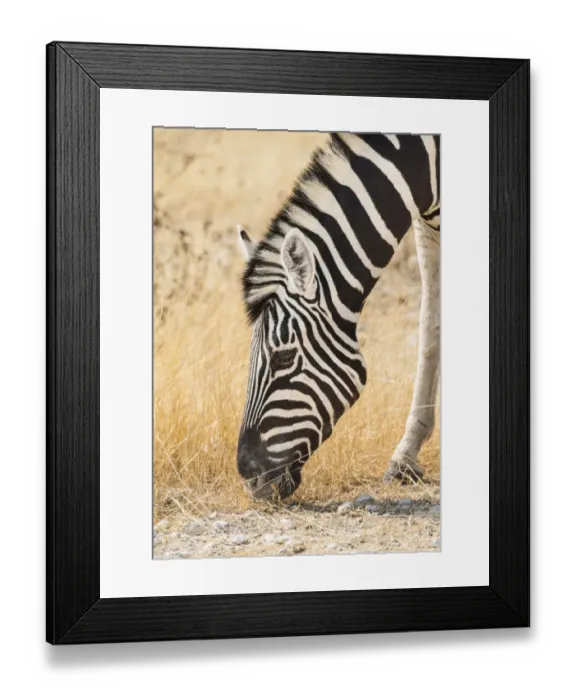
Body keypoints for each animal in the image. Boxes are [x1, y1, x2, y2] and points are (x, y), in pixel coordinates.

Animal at [236, 132, 440, 500]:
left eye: (285, 357)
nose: (250, 481)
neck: (421, 162)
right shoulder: (426, 223)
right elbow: (430, 327)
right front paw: (405, 456)